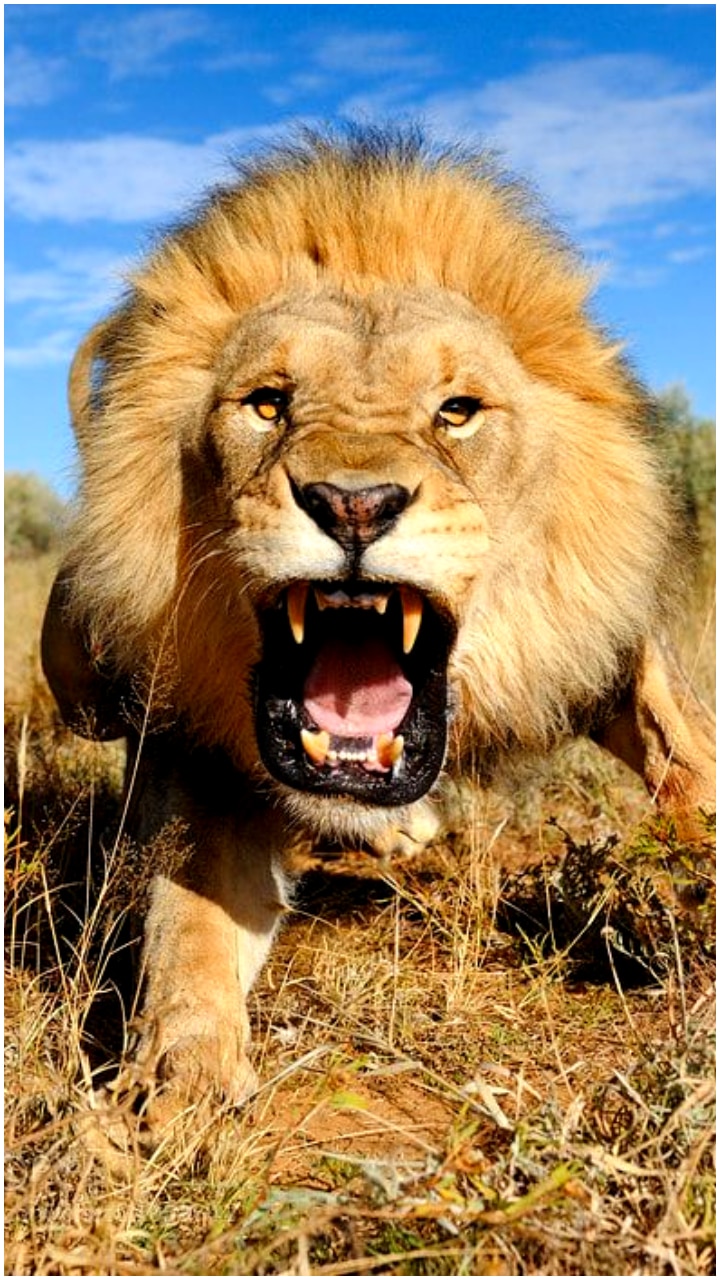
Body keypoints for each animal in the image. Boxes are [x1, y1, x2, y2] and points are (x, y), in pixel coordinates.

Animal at [41, 129, 714, 1106]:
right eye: (268, 403)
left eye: (457, 412)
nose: (353, 505)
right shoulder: (191, 735)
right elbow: (190, 916)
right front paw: (179, 1079)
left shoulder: (604, 638)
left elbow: (687, 749)